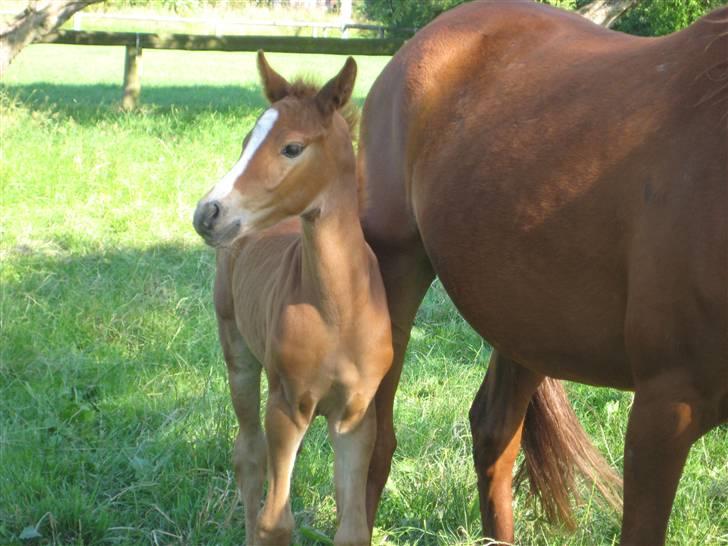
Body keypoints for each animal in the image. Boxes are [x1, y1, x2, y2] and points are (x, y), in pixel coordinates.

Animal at [193, 52, 392, 544]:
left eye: (292, 148)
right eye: (245, 141)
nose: (207, 214)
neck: (338, 310)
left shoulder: (356, 417)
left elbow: (352, 527)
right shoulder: (286, 406)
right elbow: (276, 522)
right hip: (239, 354)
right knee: (248, 455)